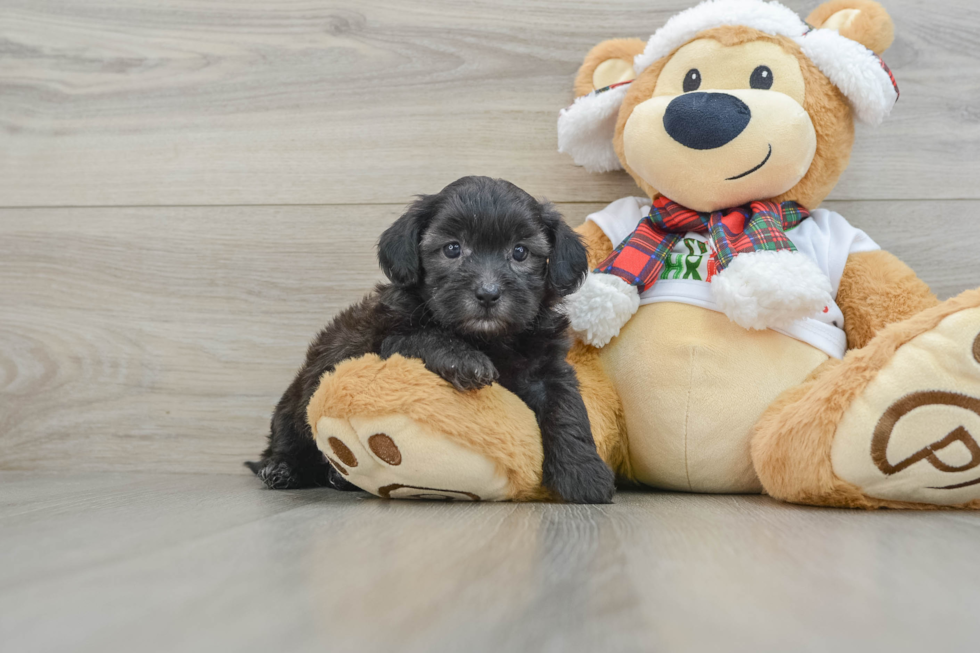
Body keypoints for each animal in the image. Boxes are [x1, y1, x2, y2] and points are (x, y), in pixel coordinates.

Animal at [247, 176, 612, 502]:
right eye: (452, 249)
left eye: (520, 252)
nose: (488, 293)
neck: (486, 338)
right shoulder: (386, 340)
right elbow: (426, 335)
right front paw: (463, 359)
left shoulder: (546, 368)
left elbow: (568, 410)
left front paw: (584, 473)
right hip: (296, 403)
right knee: (286, 439)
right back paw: (282, 468)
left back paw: (337, 478)